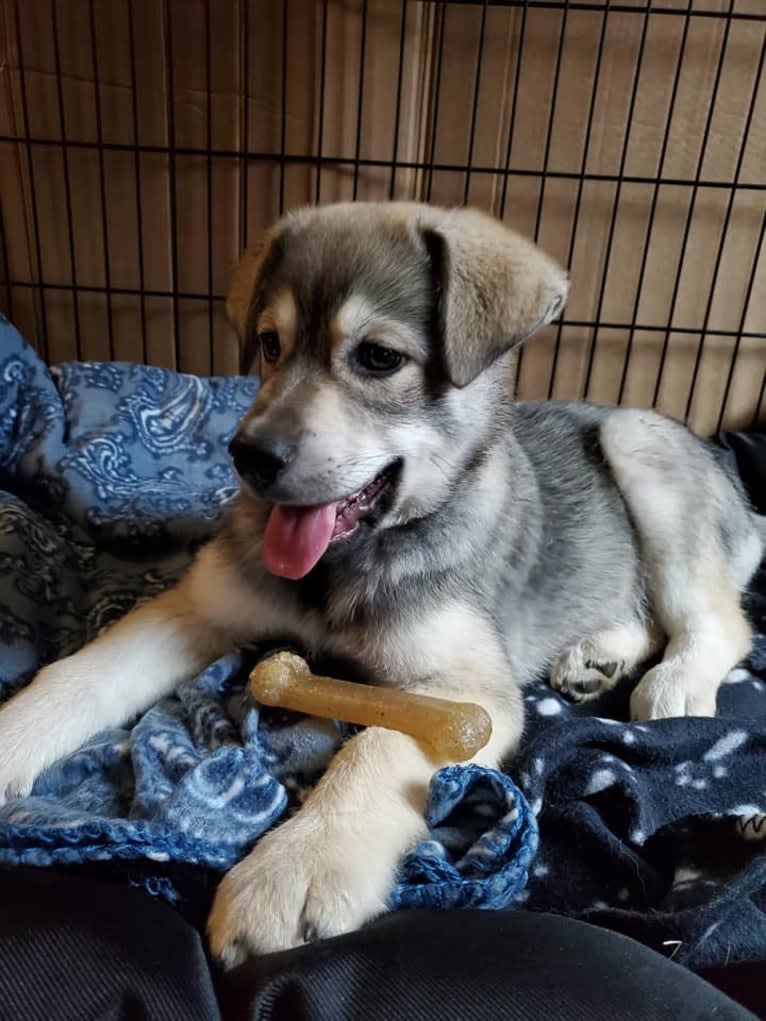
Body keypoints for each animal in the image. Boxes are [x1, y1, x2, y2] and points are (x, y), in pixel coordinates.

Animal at [1, 203, 766, 967]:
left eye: (378, 358)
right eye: (270, 344)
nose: (248, 456)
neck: (339, 565)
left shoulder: (465, 693)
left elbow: (377, 744)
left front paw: (298, 866)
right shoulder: (197, 608)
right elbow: (85, 671)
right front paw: (14, 734)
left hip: (640, 449)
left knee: (717, 621)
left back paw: (673, 684)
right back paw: (595, 656)